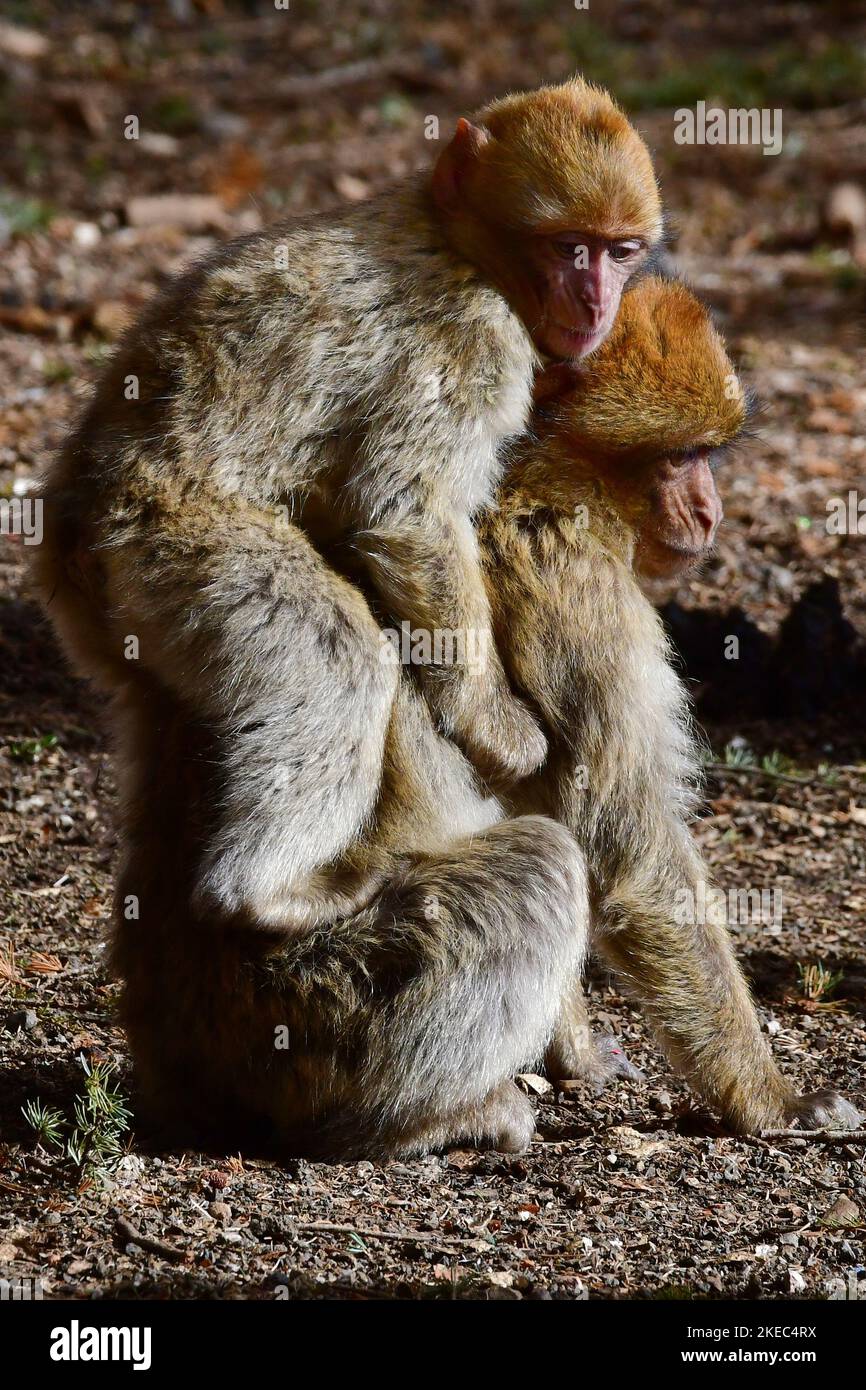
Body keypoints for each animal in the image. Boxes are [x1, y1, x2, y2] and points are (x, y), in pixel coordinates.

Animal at [32, 76, 663, 934]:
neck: (459, 244)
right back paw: (267, 893)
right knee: (340, 659)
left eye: (620, 250)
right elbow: (407, 512)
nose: (597, 301)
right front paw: (490, 721)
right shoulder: (473, 336)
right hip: (168, 548)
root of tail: (69, 532)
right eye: (570, 247)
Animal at [108, 276, 859, 1161]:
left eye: (709, 455)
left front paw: (577, 1054)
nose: (708, 510)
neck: (542, 478)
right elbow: (631, 855)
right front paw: (769, 1100)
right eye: (683, 456)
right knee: (540, 865)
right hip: (319, 1006)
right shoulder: (575, 588)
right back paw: (425, 1121)